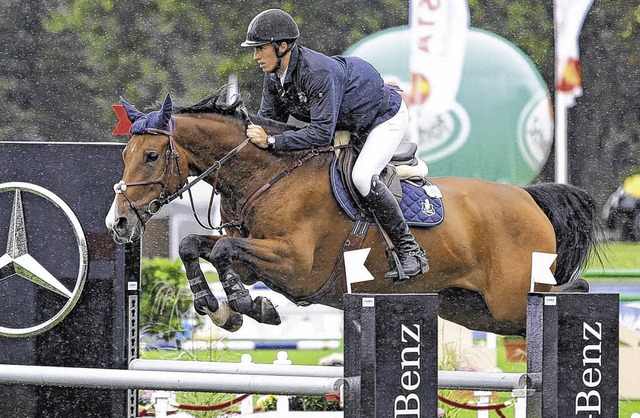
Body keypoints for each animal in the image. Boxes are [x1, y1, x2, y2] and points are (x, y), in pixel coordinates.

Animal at [105, 89, 600, 336]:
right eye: (125, 153)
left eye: (151, 156)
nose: (118, 223)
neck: (268, 174)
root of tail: (530, 199)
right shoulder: (252, 256)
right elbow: (197, 244)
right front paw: (221, 310)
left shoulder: (297, 266)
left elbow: (224, 248)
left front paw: (250, 307)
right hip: (471, 309)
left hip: (511, 300)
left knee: (568, 292)